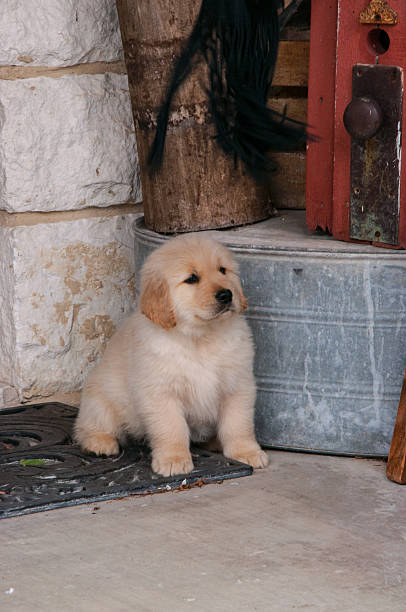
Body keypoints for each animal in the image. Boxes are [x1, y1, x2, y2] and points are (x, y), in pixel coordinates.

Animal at [74, 232, 268, 476]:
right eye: (192, 279)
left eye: (223, 270)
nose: (226, 294)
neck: (200, 338)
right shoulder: (161, 392)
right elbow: (172, 428)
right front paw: (173, 459)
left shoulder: (238, 385)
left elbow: (238, 424)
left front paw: (246, 452)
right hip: (100, 400)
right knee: (88, 426)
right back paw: (100, 442)